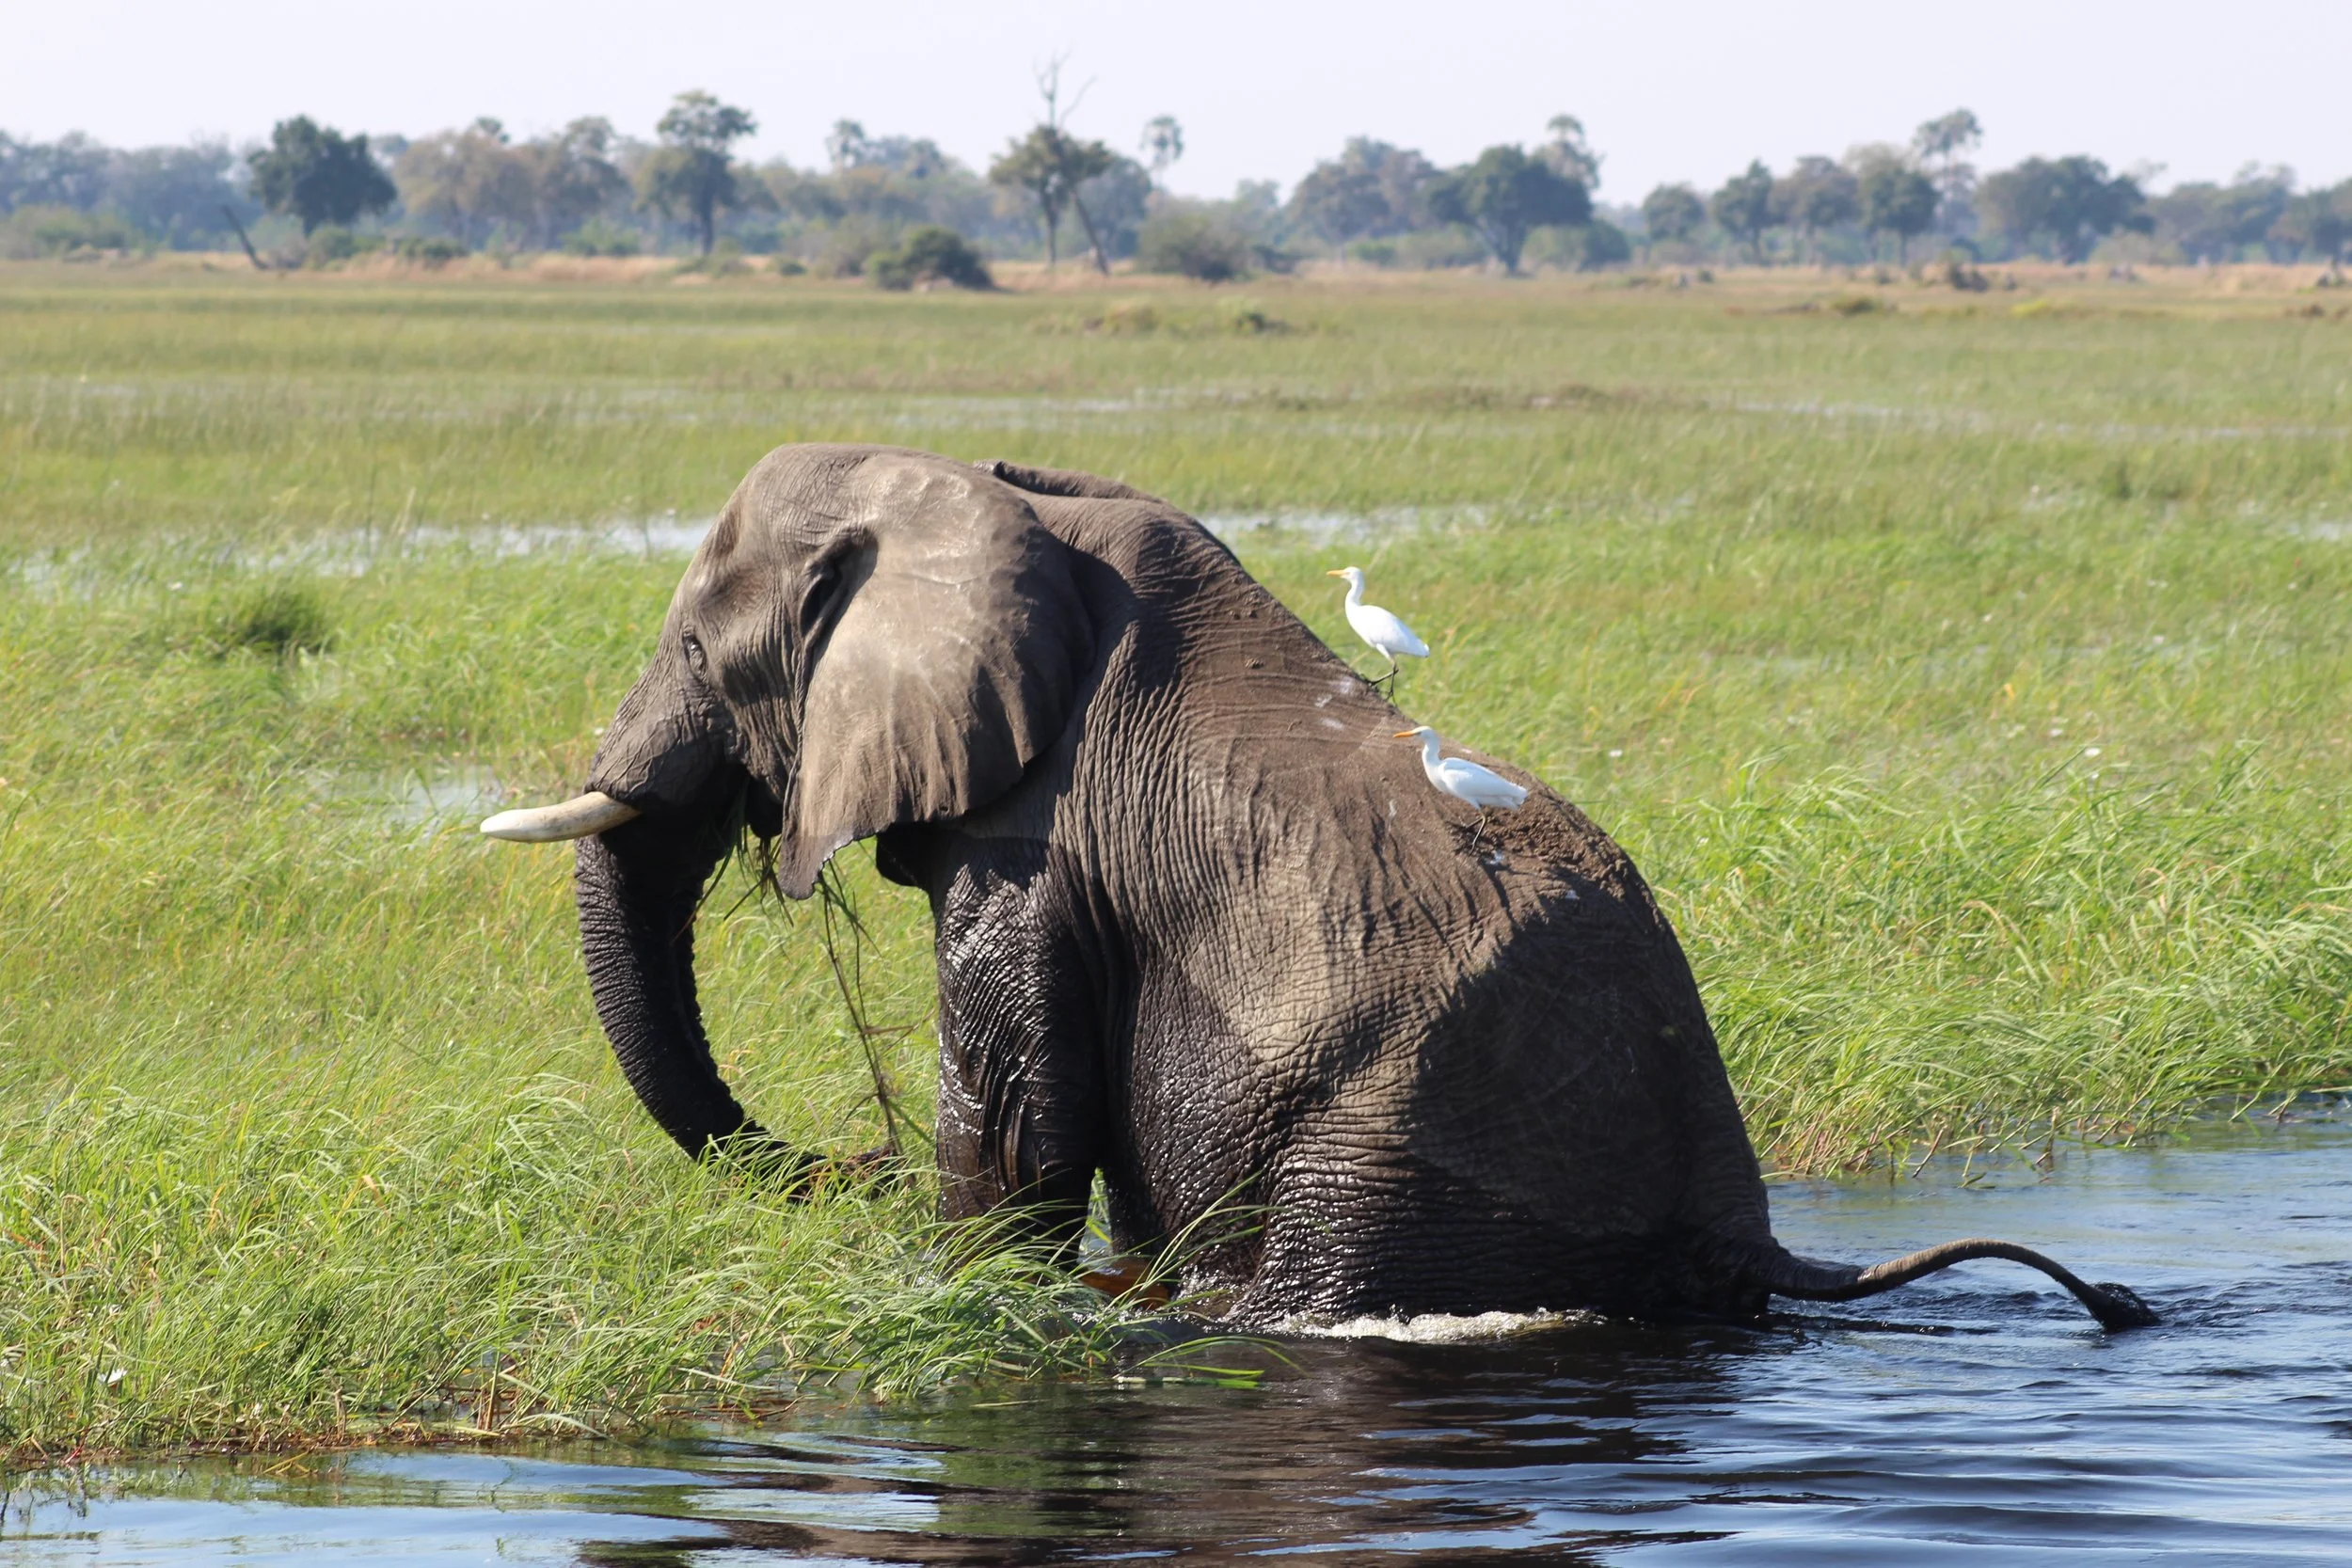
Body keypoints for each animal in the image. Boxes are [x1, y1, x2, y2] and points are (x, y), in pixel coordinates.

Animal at [483, 443, 2157, 1332]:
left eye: (697, 643)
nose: (848, 1166)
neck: (994, 498)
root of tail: (1736, 1204)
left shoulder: (1041, 840)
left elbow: (1015, 1105)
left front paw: (965, 1290)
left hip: (1403, 1147)